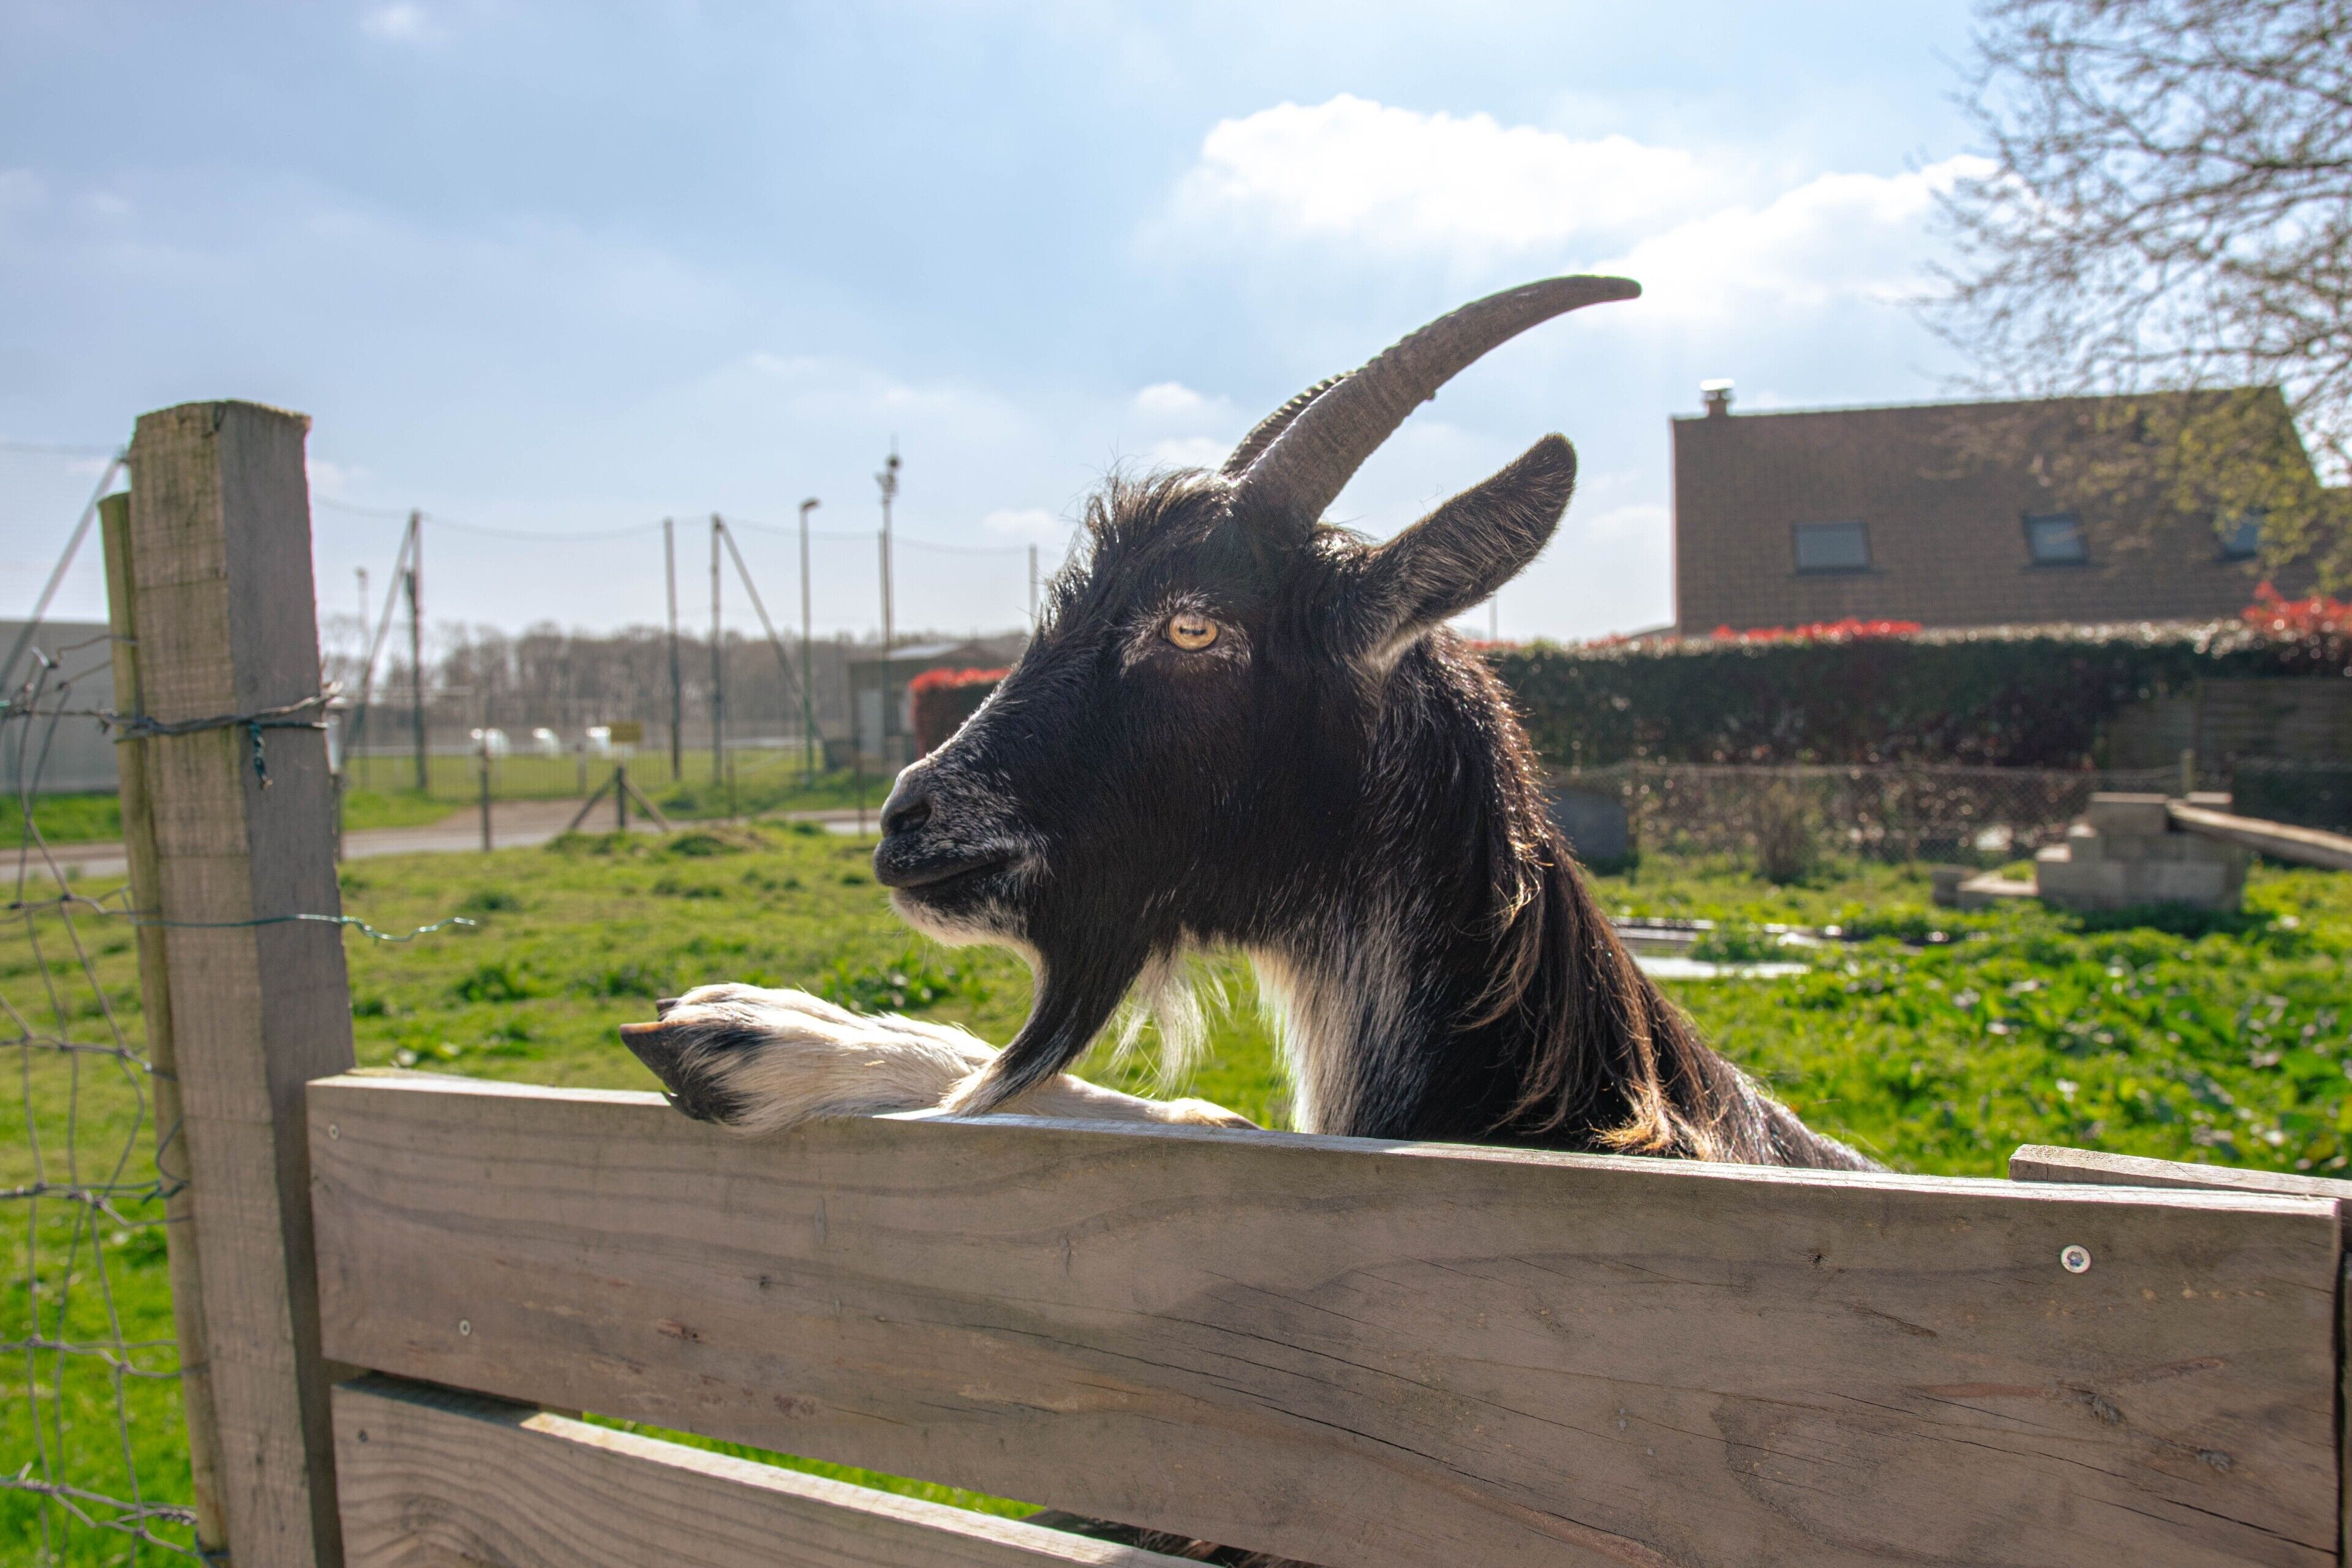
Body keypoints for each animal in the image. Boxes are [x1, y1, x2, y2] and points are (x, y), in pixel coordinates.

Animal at [624, 274, 1869, 1172]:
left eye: (1194, 628)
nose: (905, 822)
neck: (1561, 1096)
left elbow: (1204, 1122)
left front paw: (769, 1038)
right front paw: (763, 1018)